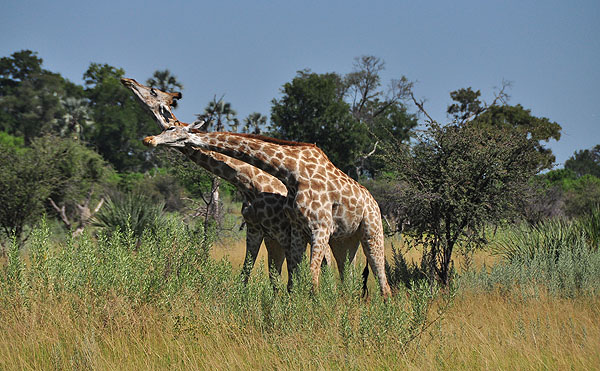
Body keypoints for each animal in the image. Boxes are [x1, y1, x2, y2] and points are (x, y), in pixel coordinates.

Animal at [120, 77, 336, 284]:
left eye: (153, 90)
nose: (127, 80)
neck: (250, 184)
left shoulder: (282, 231)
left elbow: (289, 275)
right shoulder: (257, 230)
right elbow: (250, 273)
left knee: (326, 265)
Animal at [142, 125, 392, 300]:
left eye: (172, 129)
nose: (148, 139)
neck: (291, 172)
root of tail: (373, 200)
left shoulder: (317, 228)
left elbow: (309, 278)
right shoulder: (293, 230)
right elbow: (288, 276)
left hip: (371, 230)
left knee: (381, 278)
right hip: (345, 241)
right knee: (347, 277)